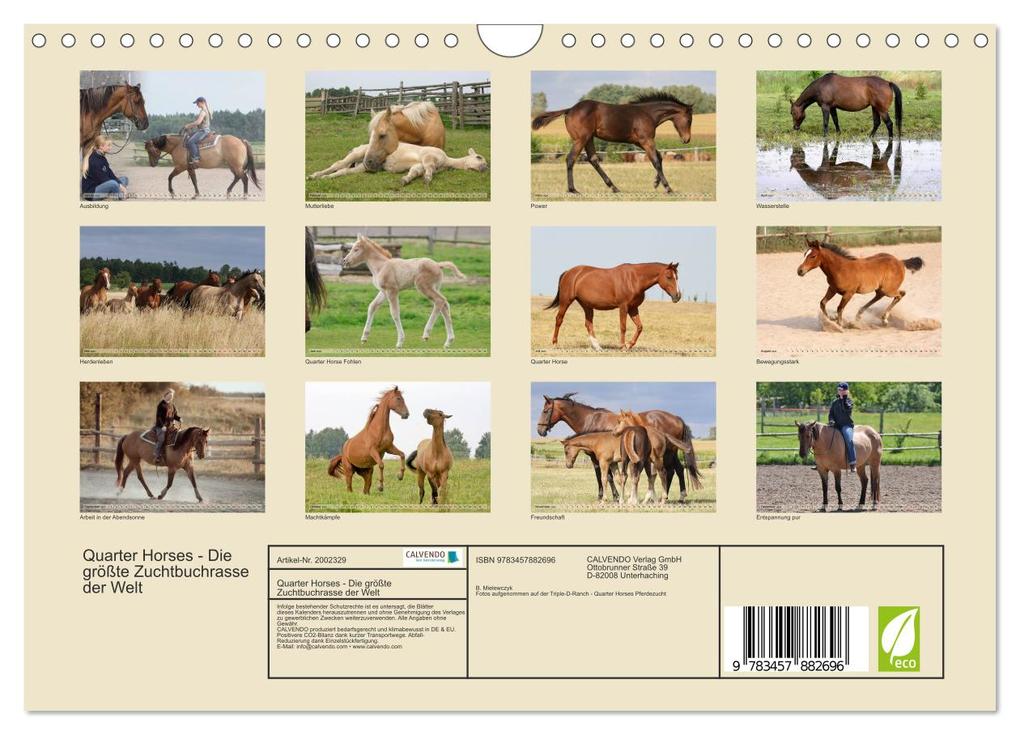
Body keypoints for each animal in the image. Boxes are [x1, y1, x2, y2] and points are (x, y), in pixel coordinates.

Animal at [531, 93, 693, 195]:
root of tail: (570, 109)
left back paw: (614, 187)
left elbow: (659, 157)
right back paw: (573, 189)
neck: (647, 114)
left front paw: (655, 182)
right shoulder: (646, 140)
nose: (686, 139)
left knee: (593, 159)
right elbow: (655, 161)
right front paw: (668, 188)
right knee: (571, 159)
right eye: (689, 120)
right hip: (581, 139)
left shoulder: (639, 142)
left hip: (589, 138)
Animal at [536, 393, 702, 502]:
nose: (540, 430)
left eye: (545, 411)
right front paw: (617, 496)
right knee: (675, 470)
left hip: (669, 453)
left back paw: (675, 497)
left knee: (674, 470)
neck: (590, 420)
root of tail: (677, 418)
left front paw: (606, 497)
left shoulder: (597, 459)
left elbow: (603, 477)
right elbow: (613, 476)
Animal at [545, 261, 681, 351]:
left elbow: (639, 327)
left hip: (587, 305)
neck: (634, 279)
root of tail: (568, 272)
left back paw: (598, 347)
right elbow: (623, 327)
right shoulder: (623, 307)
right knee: (559, 319)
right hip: (566, 301)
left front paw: (629, 345)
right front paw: (623, 346)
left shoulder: (633, 308)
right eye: (669, 277)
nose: (678, 296)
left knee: (588, 324)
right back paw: (555, 344)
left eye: (677, 277)